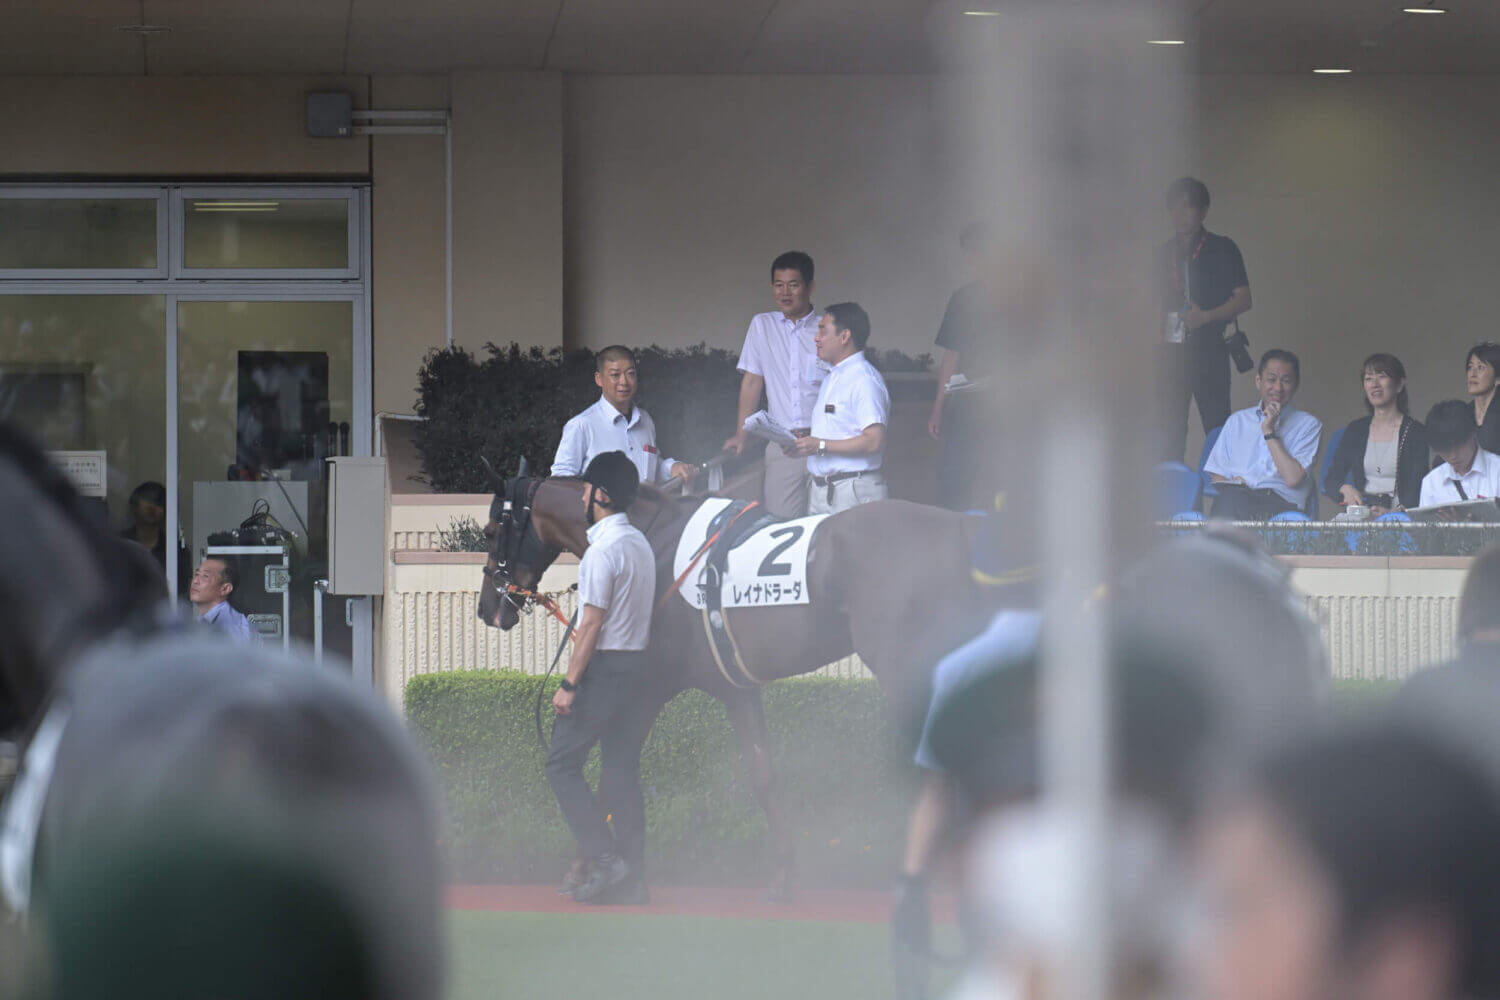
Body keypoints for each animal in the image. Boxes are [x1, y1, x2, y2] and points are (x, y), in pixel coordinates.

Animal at [480, 470, 990, 899]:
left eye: (489, 532)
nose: (488, 608)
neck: (651, 540)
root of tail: (962, 529)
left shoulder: (647, 686)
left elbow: (609, 775)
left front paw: (584, 867)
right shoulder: (737, 689)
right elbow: (763, 775)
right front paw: (784, 873)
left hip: (905, 669)